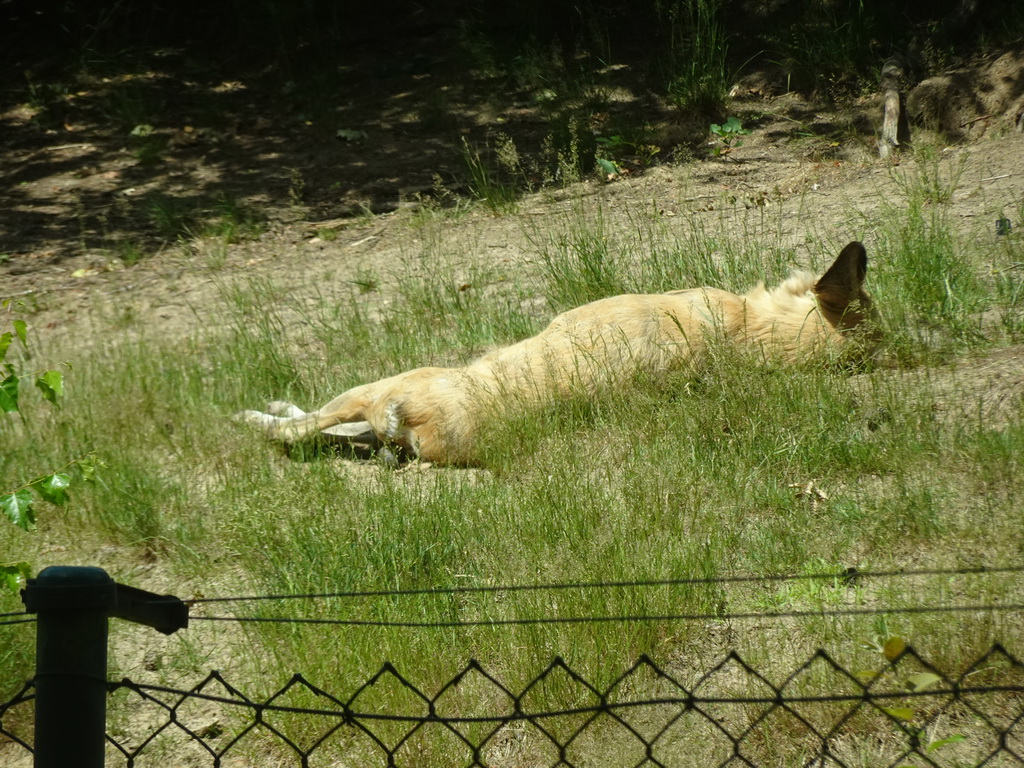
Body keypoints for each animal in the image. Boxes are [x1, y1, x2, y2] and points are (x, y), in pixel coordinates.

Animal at [237, 243, 872, 466]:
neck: (746, 331)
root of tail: (421, 425)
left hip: (383, 386)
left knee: (306, 427)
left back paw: (255, 416)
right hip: (380, 411)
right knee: (334, 433)